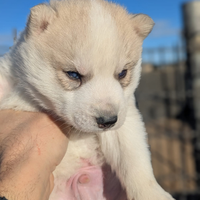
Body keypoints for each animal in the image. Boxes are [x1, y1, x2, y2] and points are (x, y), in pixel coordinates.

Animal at [0, 0, 175, 200]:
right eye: (73, 74)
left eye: (122, 73)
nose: (108, 121)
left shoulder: (126, 117)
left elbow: (133, 157)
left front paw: (153, 194)